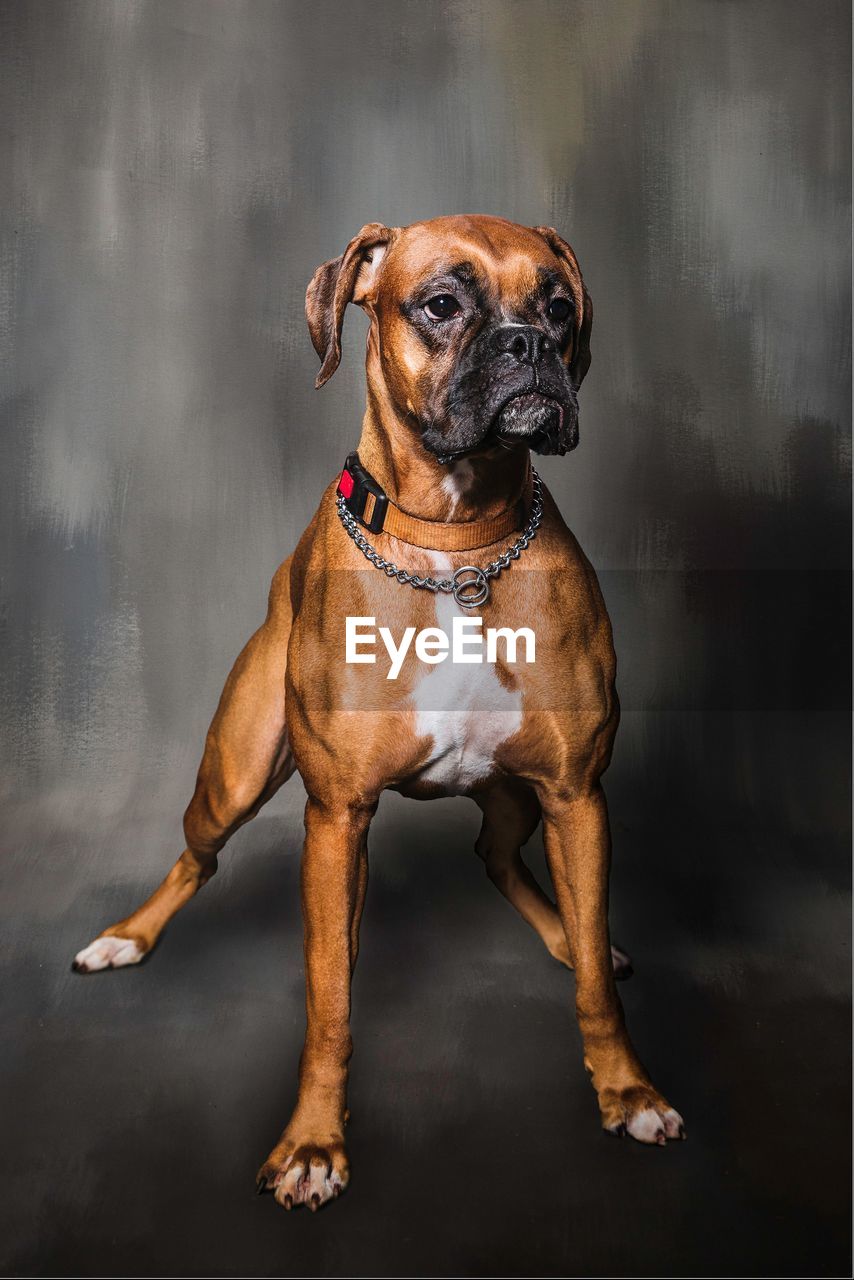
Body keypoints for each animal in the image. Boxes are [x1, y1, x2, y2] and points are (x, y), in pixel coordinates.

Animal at [73, 212, 686, 1208]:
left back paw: (570, 935)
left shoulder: (575, 795)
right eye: (440, 304)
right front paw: (314, 1144)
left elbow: (598, 985)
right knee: (198, 858)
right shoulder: (337, 818)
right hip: (235, 774)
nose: (528, 345)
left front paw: (627, 1090)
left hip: (518, 800)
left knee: (499, 861)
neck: (456, 541)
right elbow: (329, 1002)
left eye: (559, 308)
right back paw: (127, 938)